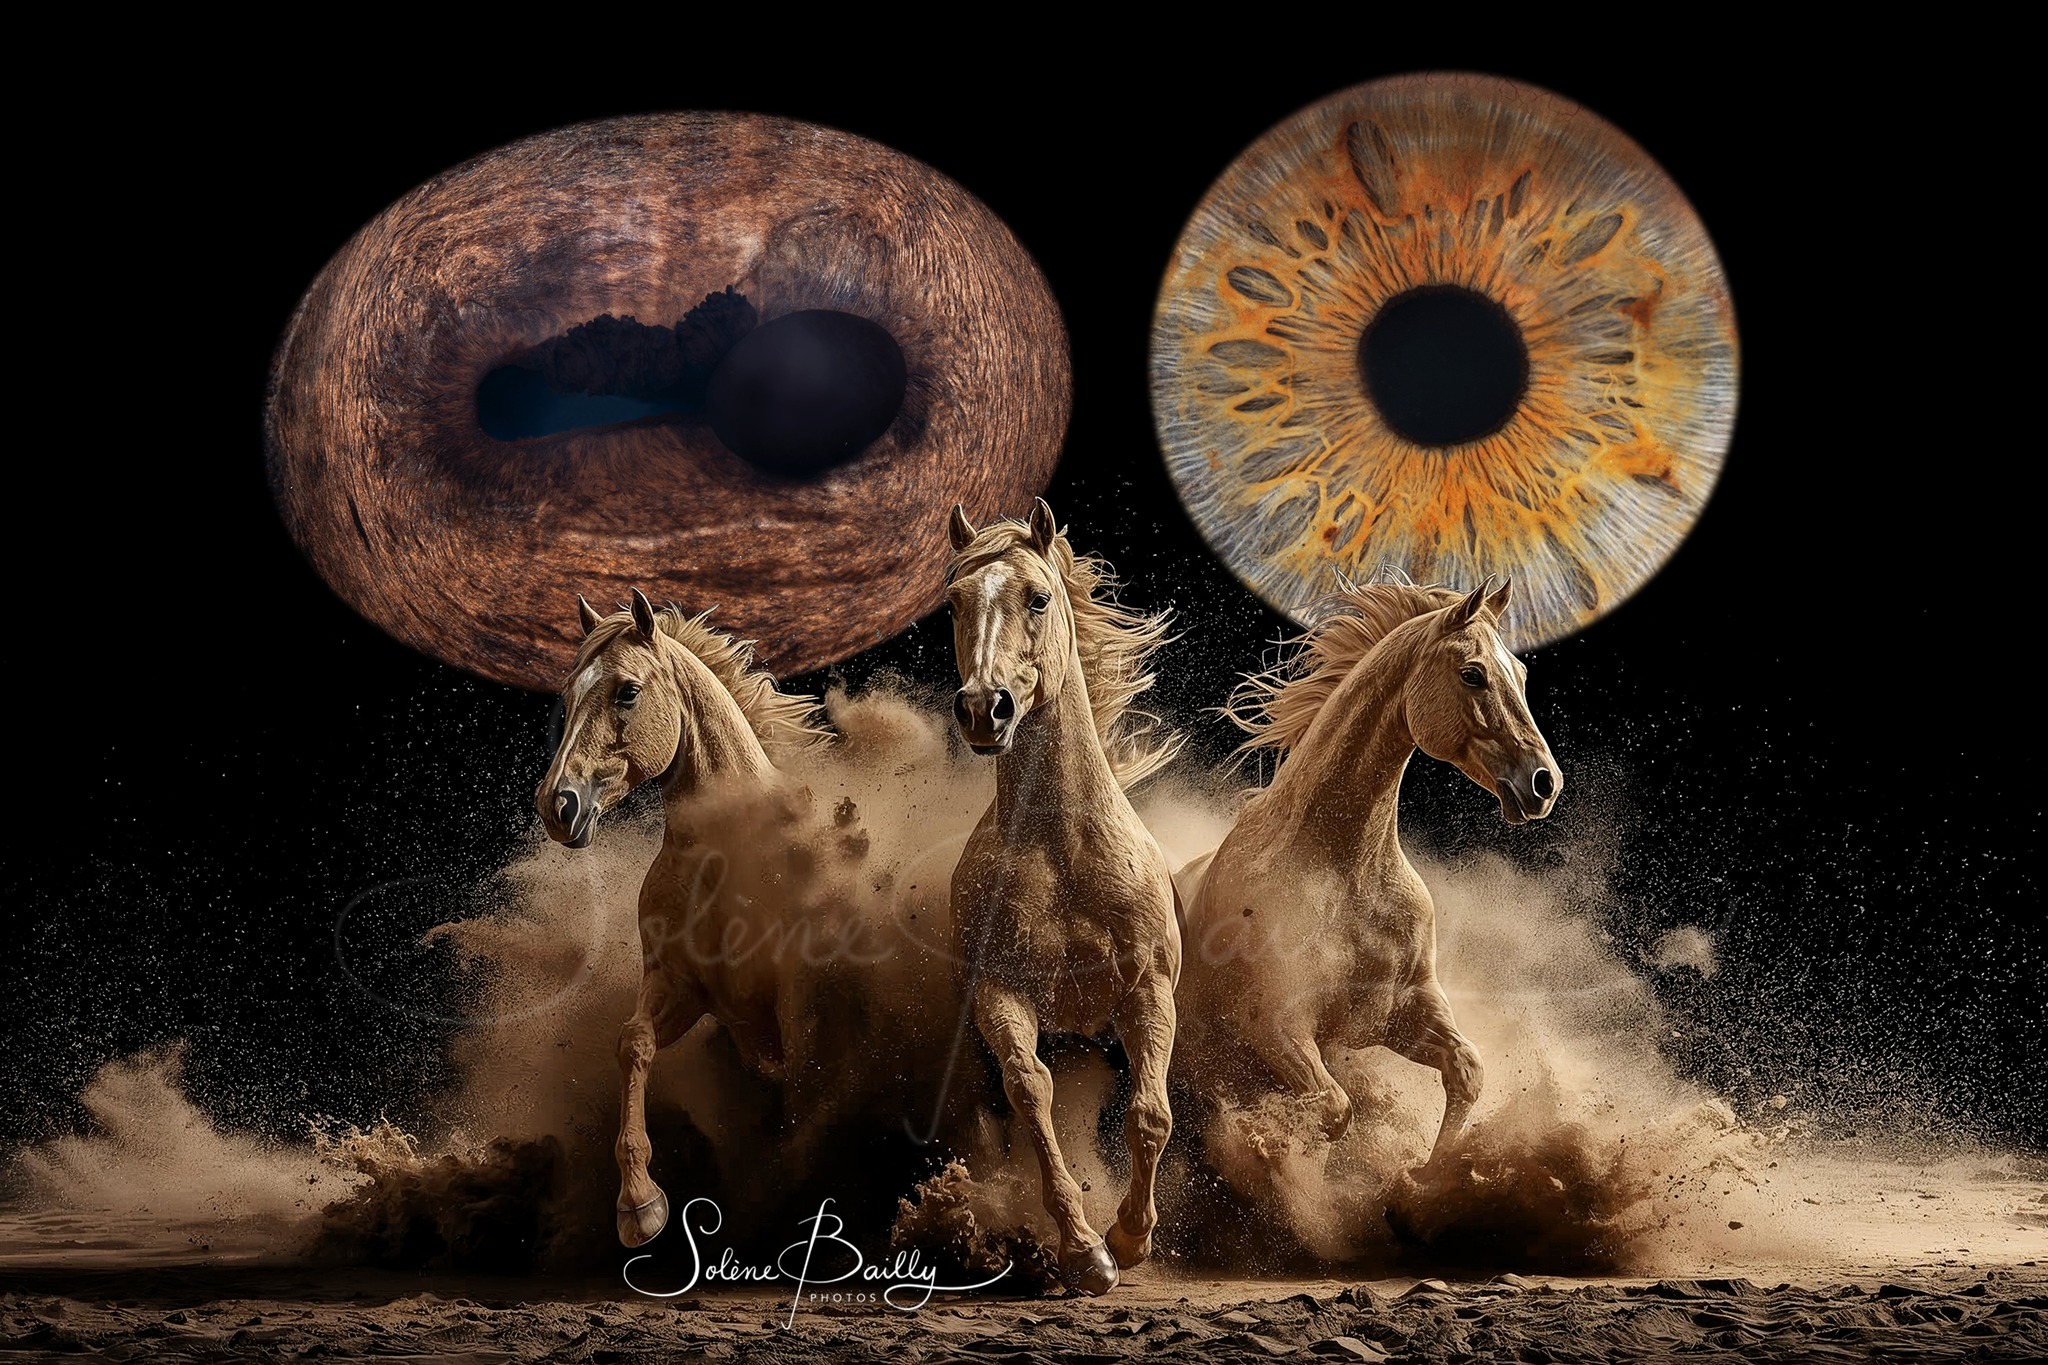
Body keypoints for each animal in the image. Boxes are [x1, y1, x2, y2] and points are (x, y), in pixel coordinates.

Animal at [533, 588, 846, 1247]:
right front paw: (639, 1205)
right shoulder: (686, 988)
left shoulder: (789, 989)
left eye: (627, 691)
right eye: (568, 697)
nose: (557, 805)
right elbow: (633, 1043)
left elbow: (802, 1066)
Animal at [943, 498, 1184, 1296]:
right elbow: (1032, 1093)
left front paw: (1131, 1238)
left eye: (1038, 597)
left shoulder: (1147, 991)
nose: (984, 708)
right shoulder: (1002, 994)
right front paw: (1086, 1252)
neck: (1065, 858)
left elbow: (1149, 1114)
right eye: (953, 602)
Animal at [1174, 576, 1560, 1190]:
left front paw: (1422, 1178)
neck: (1343, 873)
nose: (1544, 783)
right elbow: (1334, 1111)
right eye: (1472, 673)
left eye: (1521, 675)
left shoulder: (1403, 1012)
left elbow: (1468, 1071)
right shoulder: (1274, 1025)